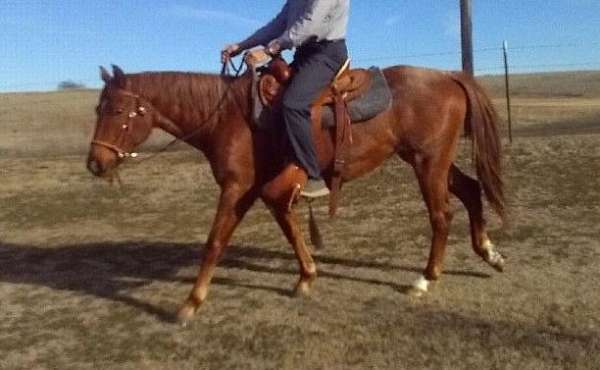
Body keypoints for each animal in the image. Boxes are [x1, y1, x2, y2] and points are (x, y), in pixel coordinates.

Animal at [86, 62, 504, 322]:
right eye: (98, 108)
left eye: (118, 111)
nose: (95, 163)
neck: (228, 116)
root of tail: (449, 76)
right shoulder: (265, 190)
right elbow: (289, 228)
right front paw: (306, 277)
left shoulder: (237, 188)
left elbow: (215, 241)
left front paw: (190, 303)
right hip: (432, 161)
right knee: (470, 190)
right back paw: (490, 253)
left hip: (427, 163)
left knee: (441, 214)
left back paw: (425, 280)